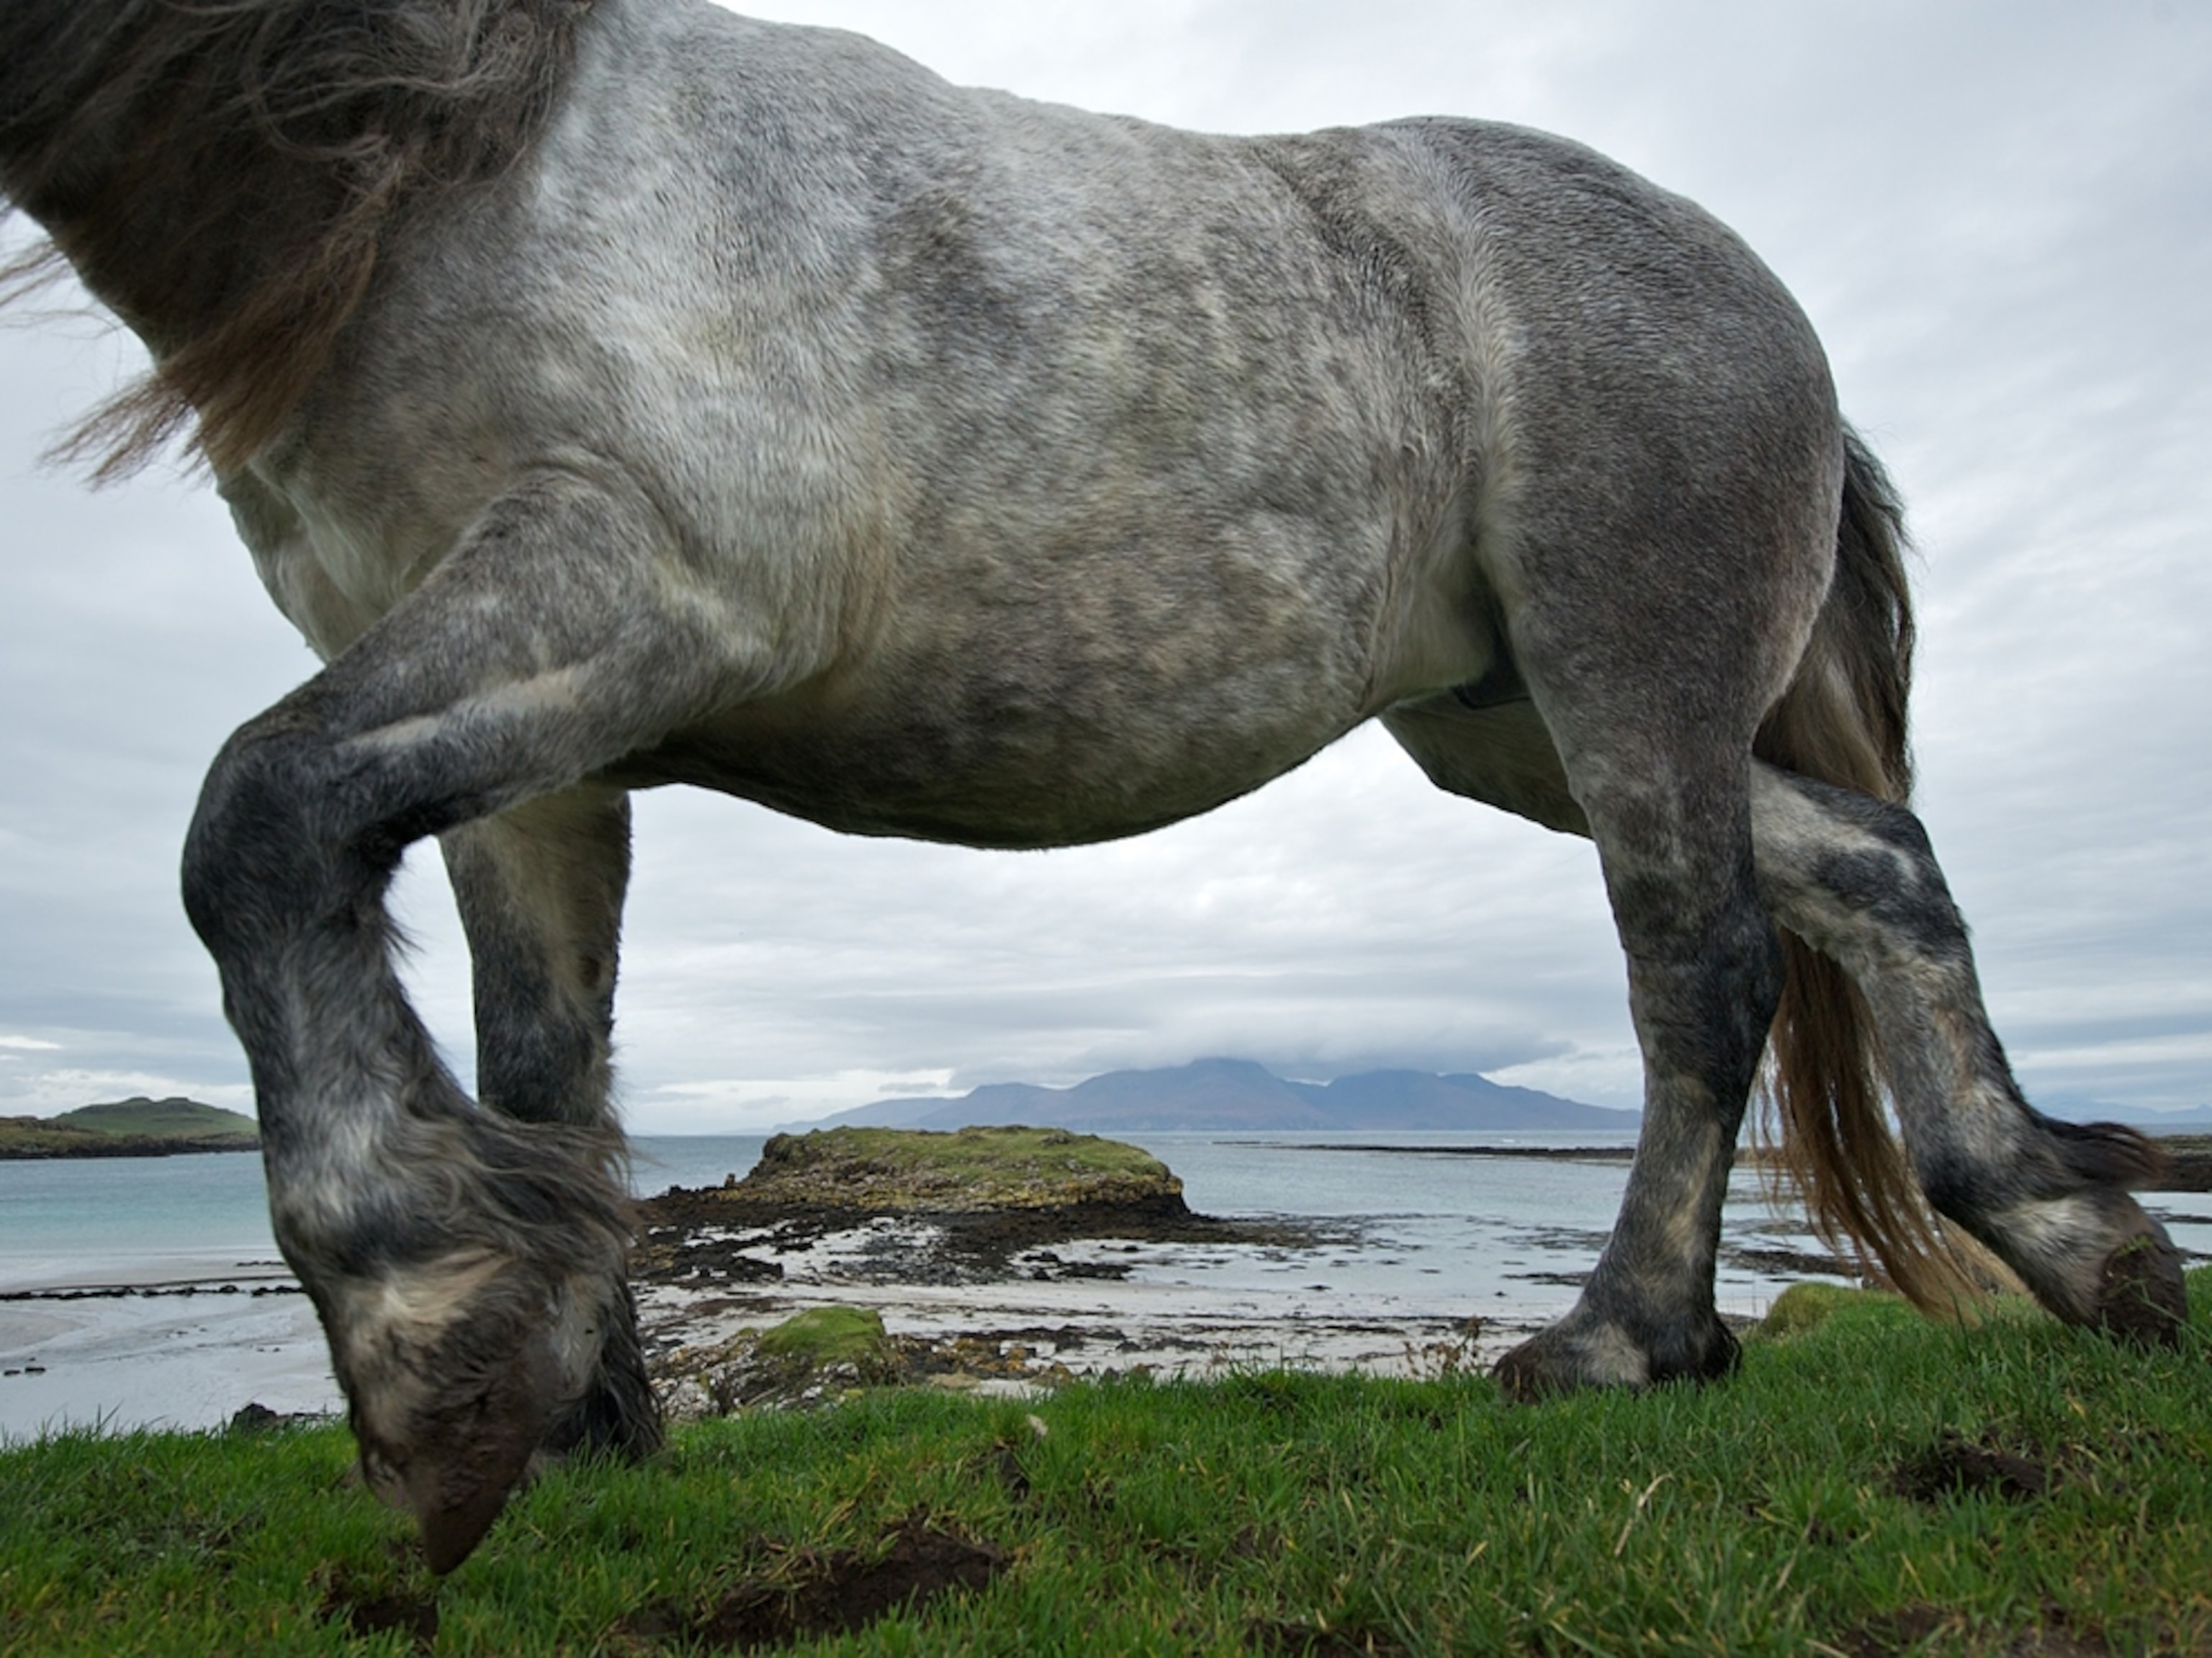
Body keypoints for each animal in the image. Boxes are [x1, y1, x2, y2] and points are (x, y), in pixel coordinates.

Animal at [1, 0, 2186, 1574]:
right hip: (1512, 726)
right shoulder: (533, 741)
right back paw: (2079, 1240)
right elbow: (550, 1068)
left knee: (1699, 968)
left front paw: (430, 1336)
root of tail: (1762, 300)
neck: (454, 165)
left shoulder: (629, 592)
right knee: (1875, 870)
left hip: (1621, 682)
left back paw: (1623, 1340)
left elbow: (248, 817)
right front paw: (593, 1413)